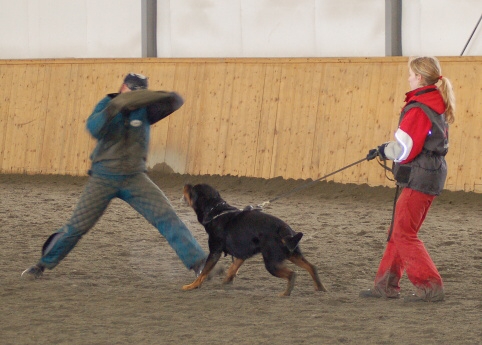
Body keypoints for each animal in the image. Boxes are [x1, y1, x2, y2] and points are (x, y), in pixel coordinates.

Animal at [181, 183, 328, 296]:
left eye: (192, 189)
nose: (186, 184)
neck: (216, 212)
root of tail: (285, 231)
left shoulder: (215, 252)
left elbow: (204, 272)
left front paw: (192, 286)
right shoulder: (242, 252)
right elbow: (233, 267)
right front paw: (227, 280)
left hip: (271, 262)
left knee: (292, 274)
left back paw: (285, 294)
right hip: (292, 254)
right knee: (311, 267)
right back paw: (320, 288)